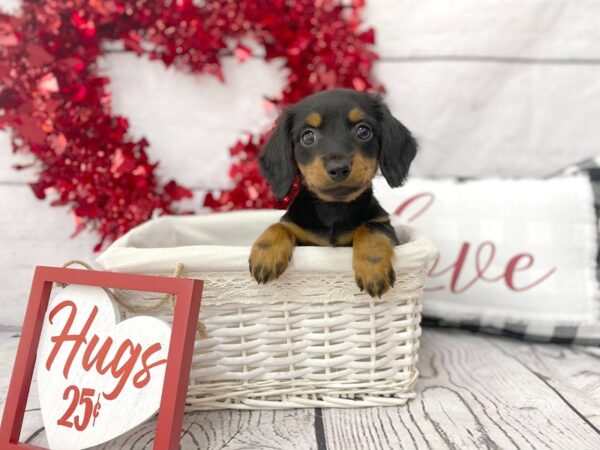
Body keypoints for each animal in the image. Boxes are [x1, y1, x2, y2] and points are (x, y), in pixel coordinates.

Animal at [248, 89, 418, 298]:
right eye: (308, 136)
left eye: (363, 131)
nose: (338, 168)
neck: (334, 208)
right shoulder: (297, 227)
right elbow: (280, 226)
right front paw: (266, 253)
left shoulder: (383, 223)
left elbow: (369, 228)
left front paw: (373, 268)